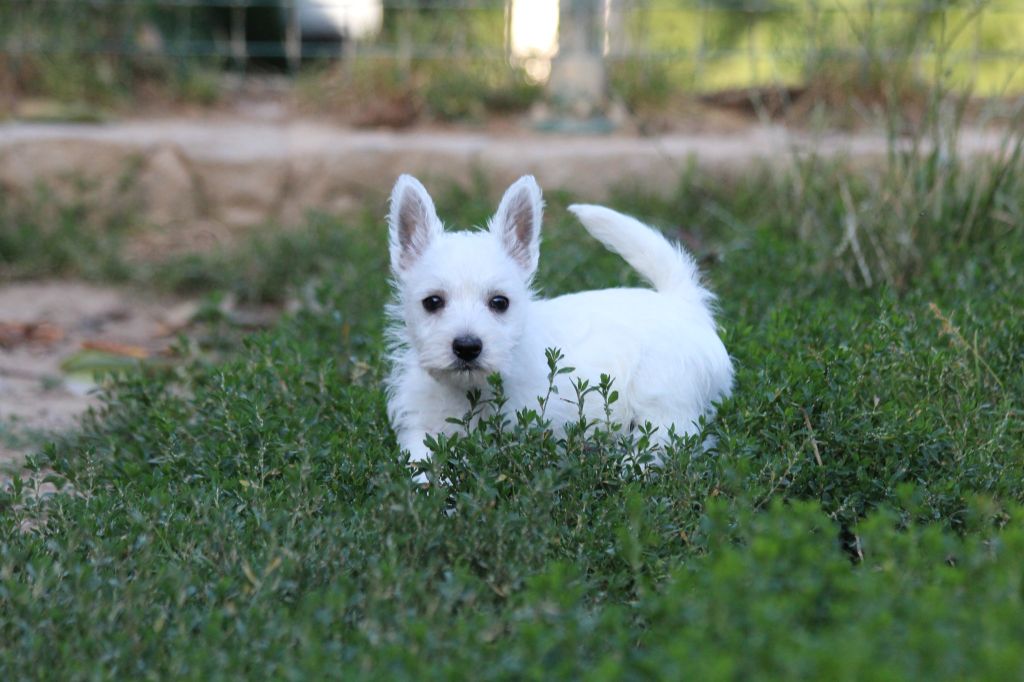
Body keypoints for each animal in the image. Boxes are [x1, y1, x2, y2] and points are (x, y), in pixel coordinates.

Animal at [385, 173, 737, 481]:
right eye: (433, 302)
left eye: (499, 302)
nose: (467, 346)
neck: (469, 392)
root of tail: (683, 302)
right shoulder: (420, 426)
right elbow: (420, 461)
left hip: (666, 395)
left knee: (670, 442)